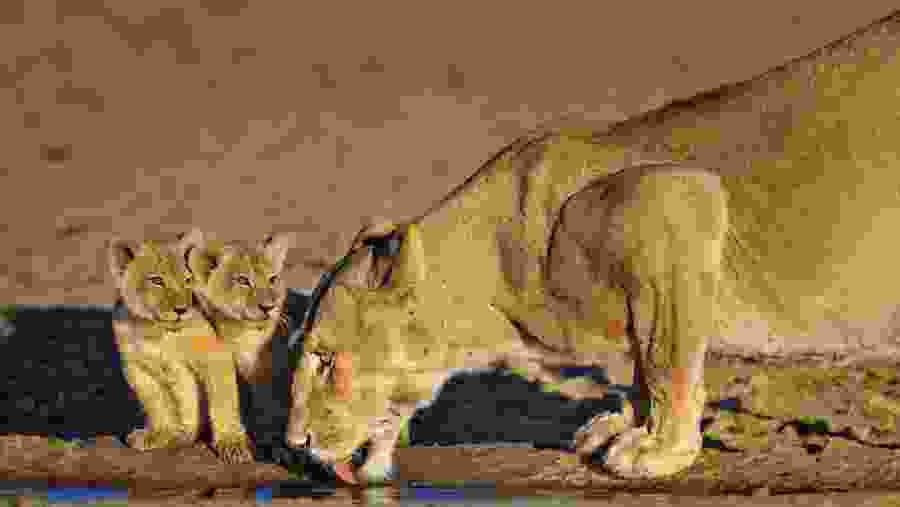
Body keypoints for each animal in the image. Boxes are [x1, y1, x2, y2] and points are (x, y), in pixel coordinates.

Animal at [109, 230, 254, 464]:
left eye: (187, 279)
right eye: (156, 281)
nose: (182, 309)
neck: (155, 331)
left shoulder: (215, 357)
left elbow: (222, 402)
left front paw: (232, 444)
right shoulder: (135, 368)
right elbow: (154, 403)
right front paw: (158, 433)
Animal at [287, 10, 900, 485]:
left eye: (323, 359)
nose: (295, 443)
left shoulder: (677, 198)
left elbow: (665, 356)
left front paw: (660, 450)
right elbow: (641, 359)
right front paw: (625, 425)